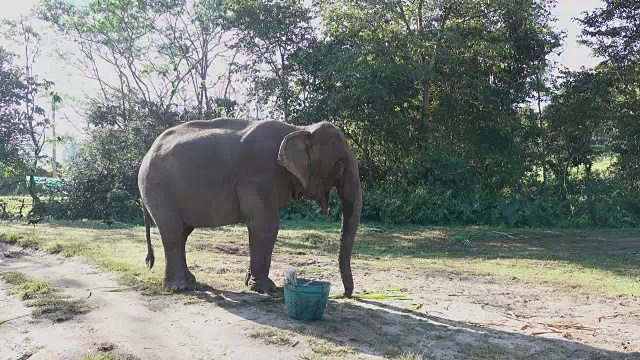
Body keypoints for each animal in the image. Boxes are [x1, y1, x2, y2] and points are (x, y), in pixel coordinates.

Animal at [138, 116, 362, 296]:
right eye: (340, 164)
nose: (345, 294)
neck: (298, 128)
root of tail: (147, 152)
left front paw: (249, 281)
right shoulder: (259, 173)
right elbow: (266, 224)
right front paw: (268, 288)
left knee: (183, 232)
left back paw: (191, 280)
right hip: (157, 188)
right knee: (173, 231)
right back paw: (179, 287)